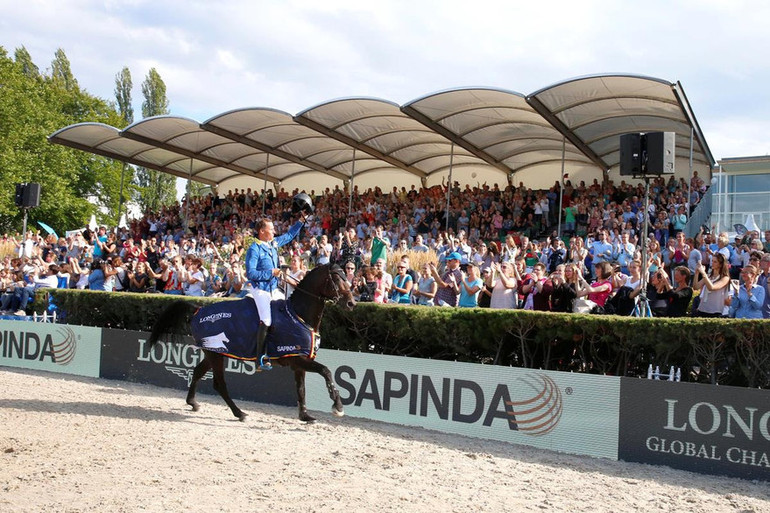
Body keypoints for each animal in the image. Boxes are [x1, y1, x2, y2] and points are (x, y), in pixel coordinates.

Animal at [147, 262, 354, 422]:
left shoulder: (299, 361)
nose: (351, 303)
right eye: (337, 278)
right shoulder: (296, 358)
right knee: (219, 384)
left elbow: (301, 389)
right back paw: (239, 413)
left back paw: (193, 403)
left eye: (347, 275)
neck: (298, 315)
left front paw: (305, 416)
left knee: (198, 372)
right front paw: (338, 406)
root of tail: (198, 309)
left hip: (213, 352)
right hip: (216, 354)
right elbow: (325, 371)